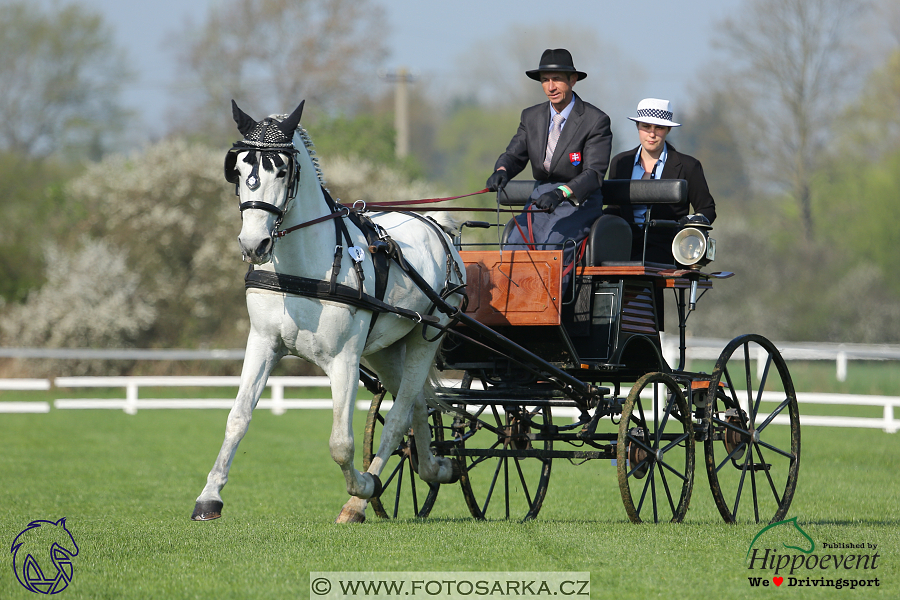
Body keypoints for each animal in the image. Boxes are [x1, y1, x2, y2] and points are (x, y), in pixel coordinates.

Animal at [194, 101, 468, 524]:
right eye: (237, 170)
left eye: (282, 170)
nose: (254, 244)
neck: (303, 269)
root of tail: (437, 225)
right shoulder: (263, 343)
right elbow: (237, 418)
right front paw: (209, 497)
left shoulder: (344, 359)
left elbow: (341, 443)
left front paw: (362, 487)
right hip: (386, 348)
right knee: (417, 406)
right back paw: (433, 467)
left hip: (428, 334)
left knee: (400, 413)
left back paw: (363, 497)